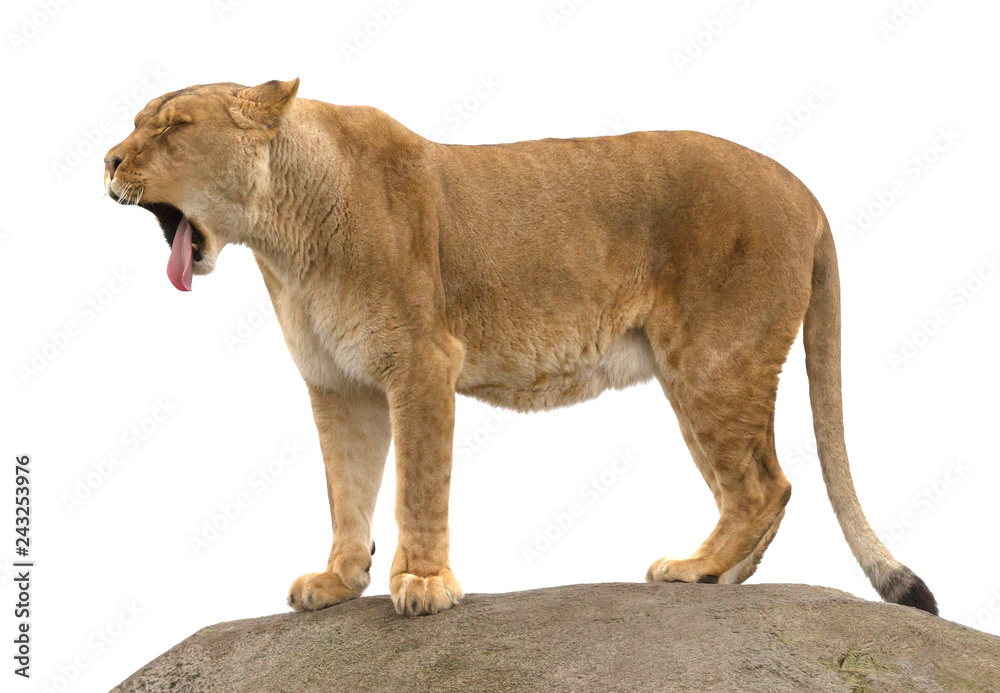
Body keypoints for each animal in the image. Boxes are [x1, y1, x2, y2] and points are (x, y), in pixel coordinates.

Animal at [104, 79, 937, 617]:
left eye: (172, 127)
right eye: (137, 122)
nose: (107, 159)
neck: (283, 237)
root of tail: (805, 189)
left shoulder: (422, 360)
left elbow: (417, 483)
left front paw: (424, 584)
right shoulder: (339, 384)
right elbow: (349, 488)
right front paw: (340, 580)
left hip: (709, 364)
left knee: (766, 485)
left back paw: (696, 570)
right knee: (766, 490)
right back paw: (720, 578)